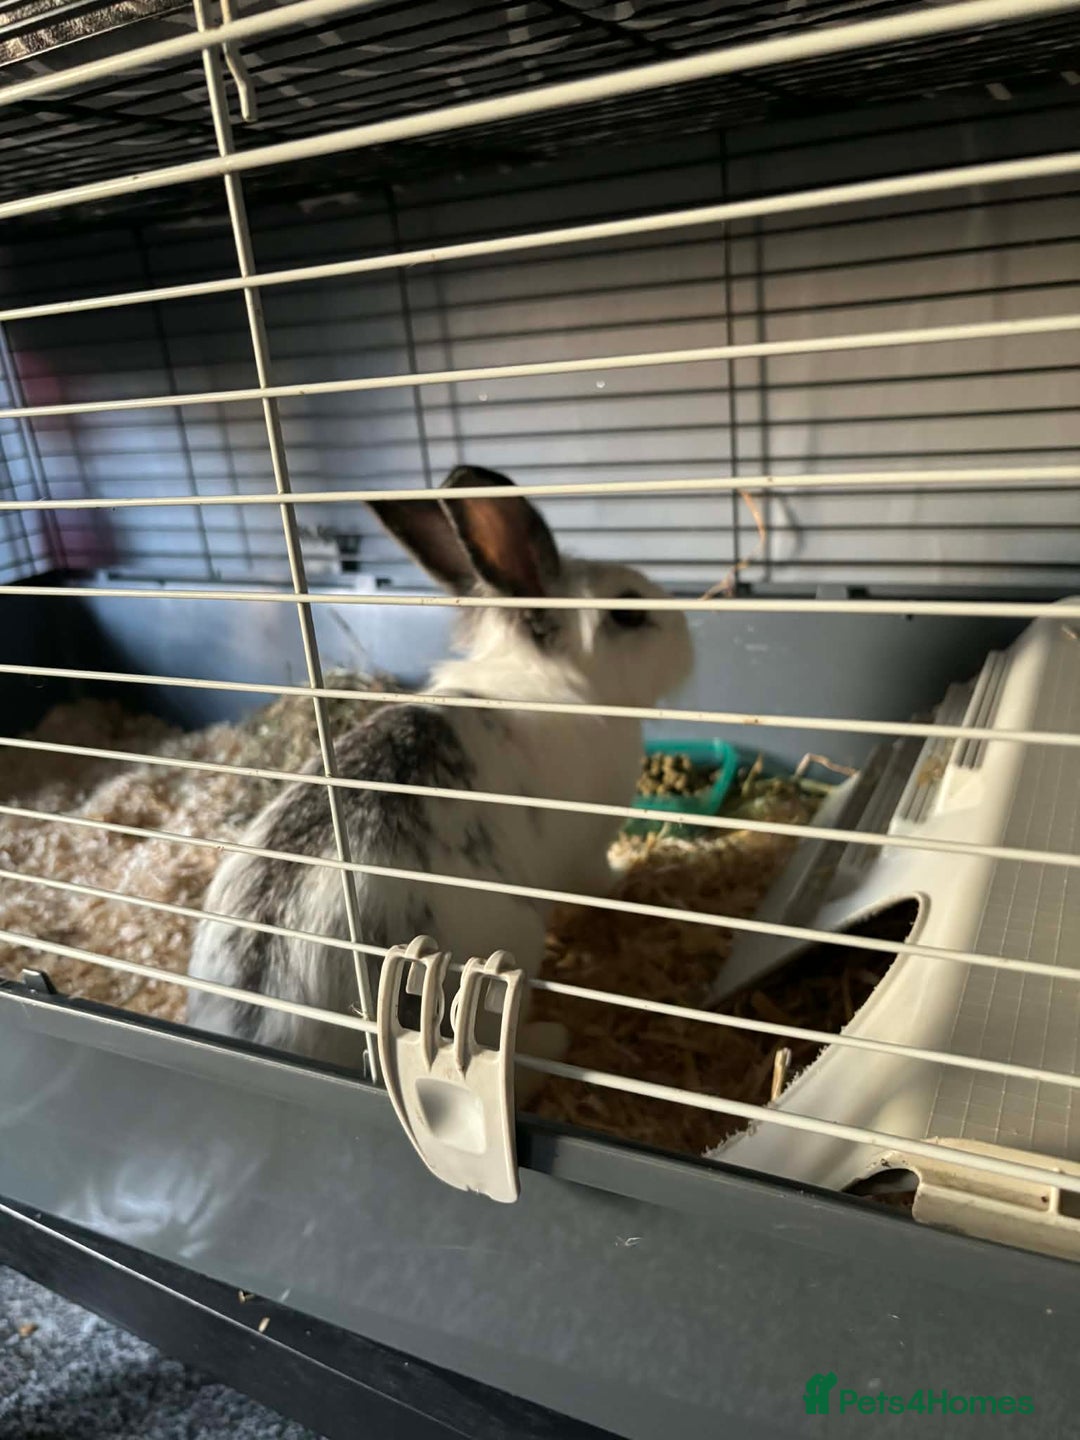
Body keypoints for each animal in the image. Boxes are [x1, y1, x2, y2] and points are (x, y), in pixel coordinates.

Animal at [187, 464, 694, 1087]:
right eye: (628, 611)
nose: (689, 640)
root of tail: (271, 1031)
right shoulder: (586, 852)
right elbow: (599, 876)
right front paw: (628, 875)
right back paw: (552, 1042)